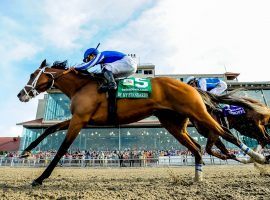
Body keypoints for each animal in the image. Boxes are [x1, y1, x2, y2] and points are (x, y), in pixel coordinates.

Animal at [17, 59, 268, 186]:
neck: (83, 85)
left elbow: (61, 149)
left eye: (33, 75)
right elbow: (50, 128)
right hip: (174, 125)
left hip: (199, 114)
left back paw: (257, 158)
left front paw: (39, 178)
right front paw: (25, 152)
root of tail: (190, 86)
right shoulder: (79, 119)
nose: (21, 94)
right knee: (198, 147)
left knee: (227, 134)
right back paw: (198, 177)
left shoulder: (79, 120)